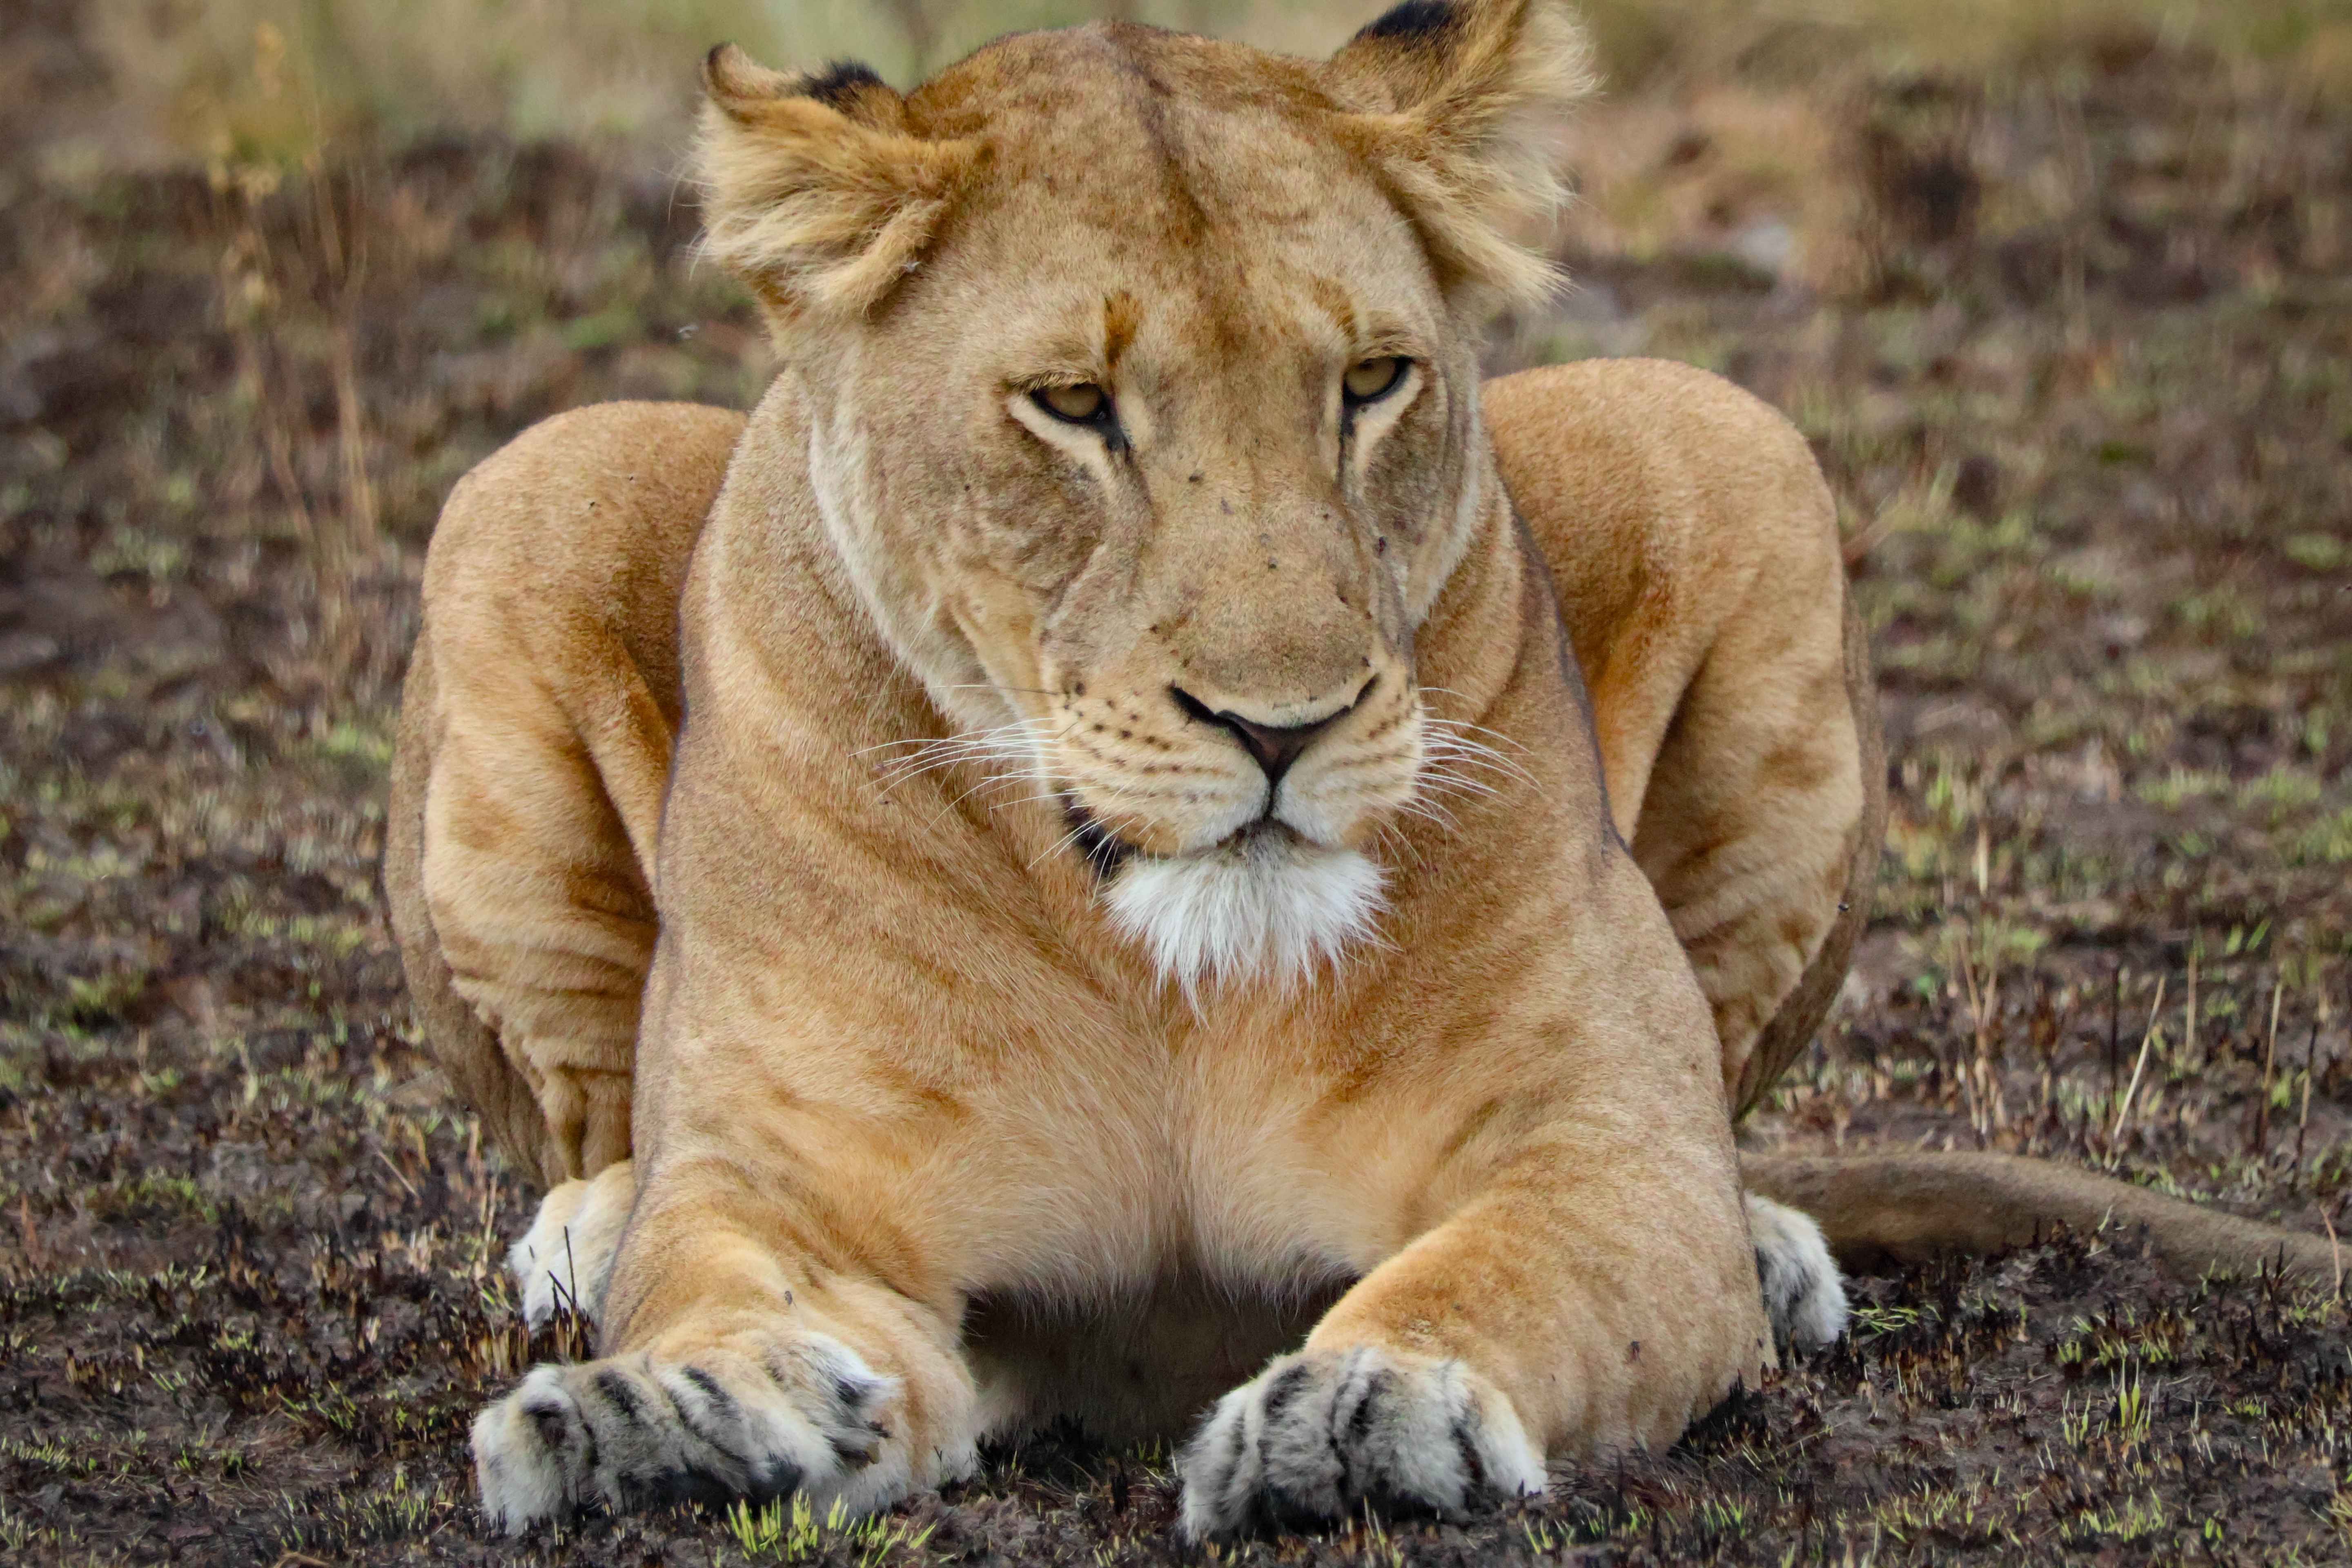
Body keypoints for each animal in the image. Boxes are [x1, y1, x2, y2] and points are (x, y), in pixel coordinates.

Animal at [383, 0, 2341, 1537]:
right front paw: (660, 1414)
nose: (1283, 727)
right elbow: (726, 1285)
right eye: (1072, 408)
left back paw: (1776, 1248)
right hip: (529, 484)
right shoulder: (794, 1187)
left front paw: (1370, 1406)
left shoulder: (1595, 1152)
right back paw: (584, 1240)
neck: (1159, 969)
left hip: (1725, 437)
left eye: (1374, 382)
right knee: (599, 1131)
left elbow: (1510, 1264)